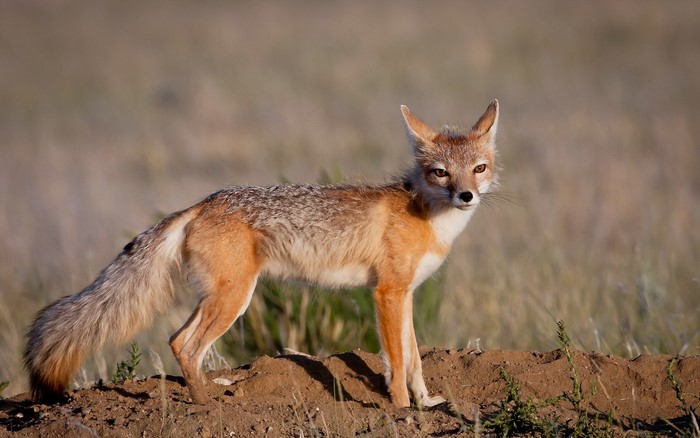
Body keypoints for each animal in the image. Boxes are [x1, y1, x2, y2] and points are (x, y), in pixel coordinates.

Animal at [24, 100, 499, 408]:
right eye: (440, 172)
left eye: (479, 168)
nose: (466, 196)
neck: (428, 216)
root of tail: (203, 202)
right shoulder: (386, 294)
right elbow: (397, 361)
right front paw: (401, 409)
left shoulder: (407, 295)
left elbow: (415, 358)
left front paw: (427, 401)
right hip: (236, 298)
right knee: (186, 345)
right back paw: (206, 405)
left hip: (221, 297)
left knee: (177, 340)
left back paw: (210, 391)